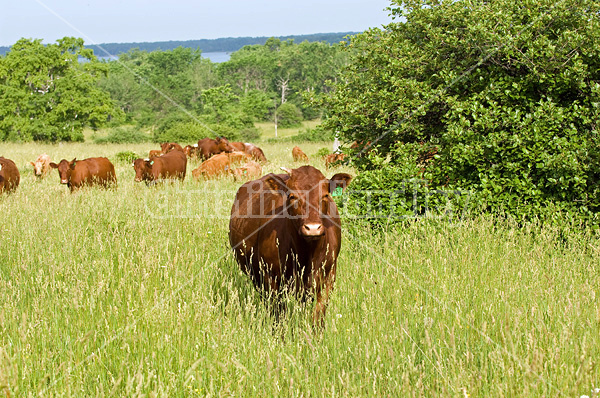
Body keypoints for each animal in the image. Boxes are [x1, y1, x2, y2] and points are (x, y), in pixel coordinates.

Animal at [229, 165, 352, 326]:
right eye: (292, 196)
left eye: (325, 195)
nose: (313, 228)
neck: (306, 254)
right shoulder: (271, 278)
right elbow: (278, 316)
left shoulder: (328, 276)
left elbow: (318, 316)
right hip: (254, 274)